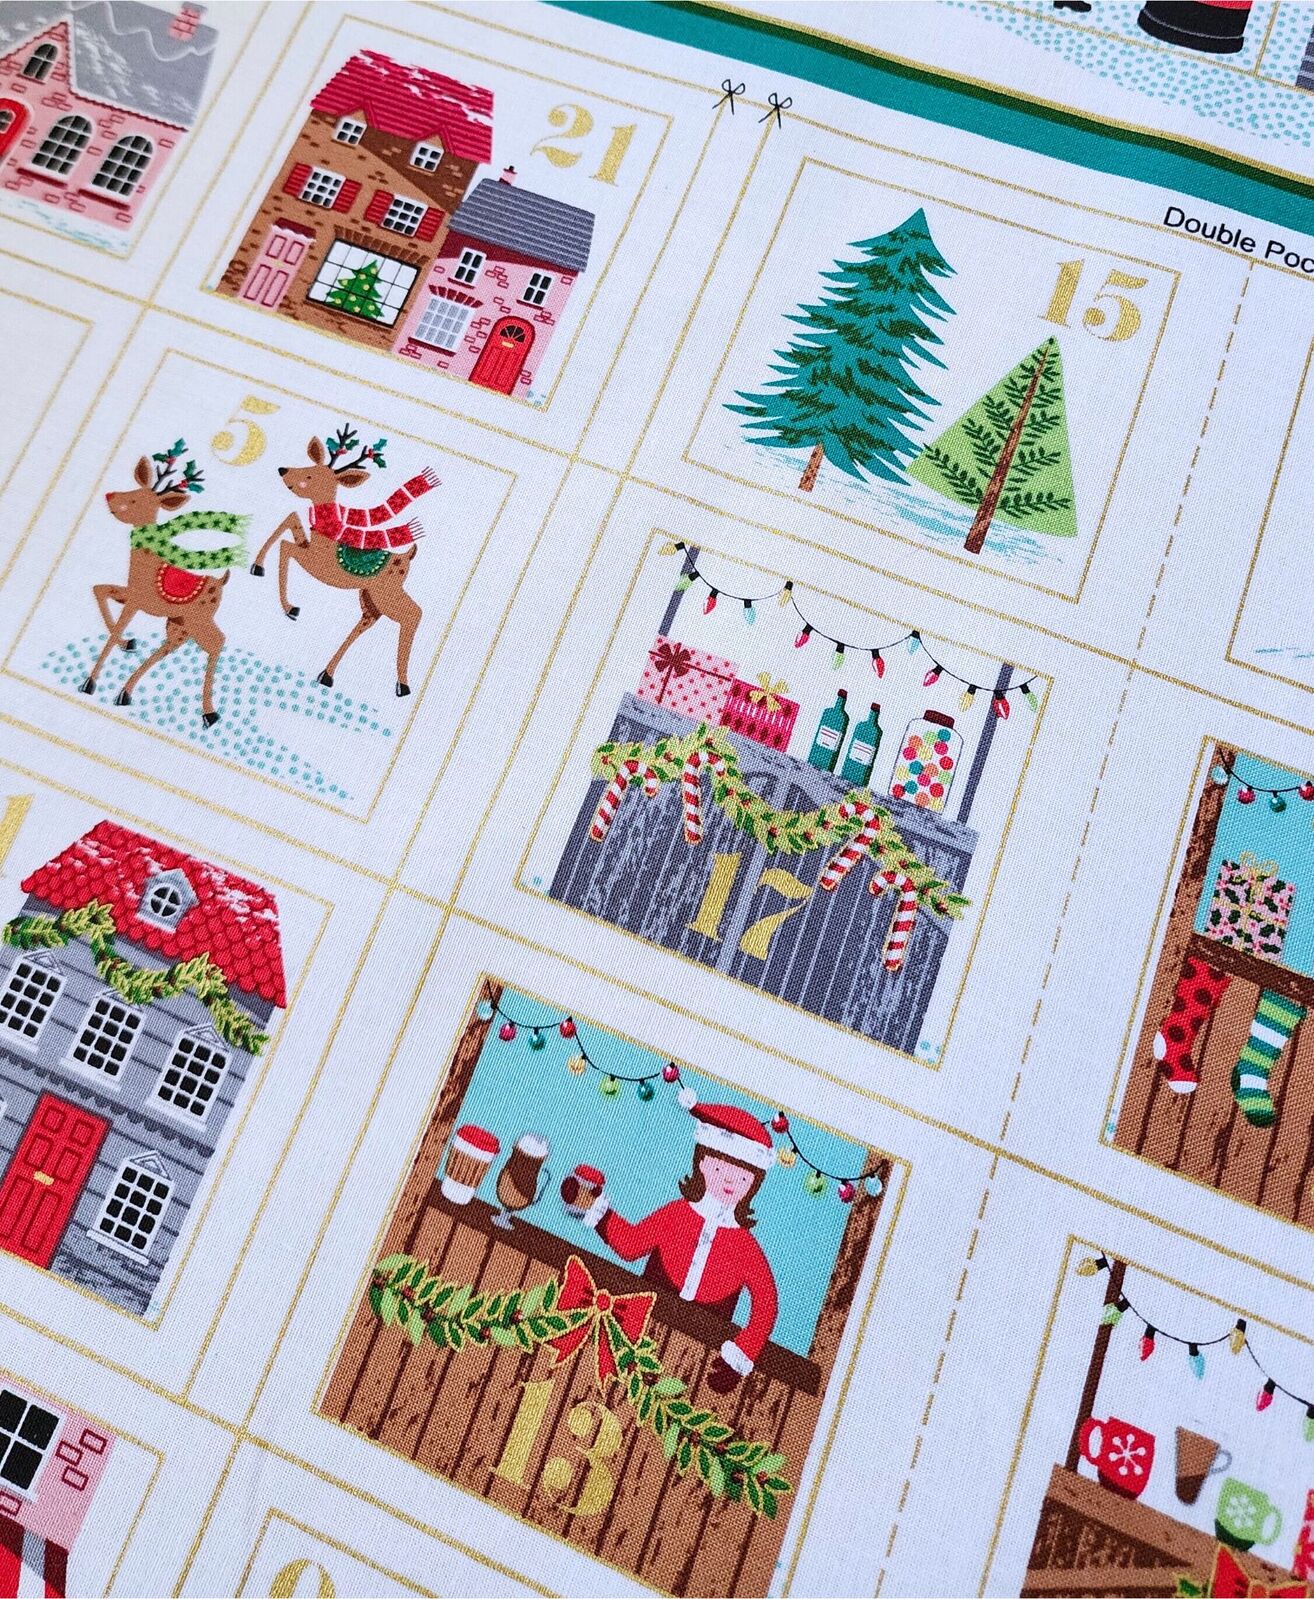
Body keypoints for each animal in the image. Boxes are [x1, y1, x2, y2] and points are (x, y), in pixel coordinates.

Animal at [81, 444, 247, 727]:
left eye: (135, 499)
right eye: (133, 491)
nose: (109, 495)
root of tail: (221, 581)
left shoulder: (137, 600)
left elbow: (113, 626)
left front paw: (89, 682)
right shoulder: (131, 594)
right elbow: (100, 590)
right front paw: (128, 643)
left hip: (196, 620)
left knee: (216, 641)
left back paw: (209, 713)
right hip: (178, 621)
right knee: (173, 645)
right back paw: (125, 693)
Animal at [250, 423, 435, 698]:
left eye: (311, 476)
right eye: (308, 467)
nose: (283, 470)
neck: (328, 531)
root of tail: (407, 556)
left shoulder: (316, 564)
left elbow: (286, 547)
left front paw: (290, 607)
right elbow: (290, 519)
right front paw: (257, 567)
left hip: (387, 594)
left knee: (413, 614)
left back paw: (402, 685)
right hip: (370, 597)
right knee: (368, 621)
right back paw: (327, 674)